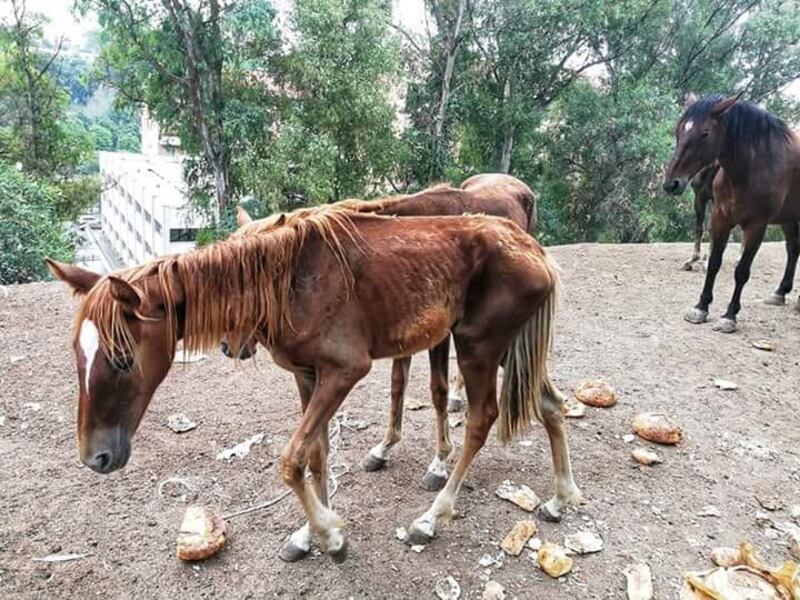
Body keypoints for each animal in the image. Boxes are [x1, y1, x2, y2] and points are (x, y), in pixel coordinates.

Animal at [47, 206, 581, 564]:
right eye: (76, 354)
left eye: (121, 359)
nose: (96, 457)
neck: (289, 282)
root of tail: (534, 250)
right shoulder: (309, 376)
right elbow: (317, 455)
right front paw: (309, 535)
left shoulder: (345, 372)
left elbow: (291, 461)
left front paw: (330, 535)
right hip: (513, 350)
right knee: (551, 405)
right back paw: (559, 498)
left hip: (477, 347)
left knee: (481, 419)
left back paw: (430, 519)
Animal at [228, 173, 537, 492]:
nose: (232, 347)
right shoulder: (404, 329)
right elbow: (397, 385)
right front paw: (384, 448)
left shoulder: (433, 334)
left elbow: (436, 390)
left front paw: (439, 463)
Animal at [663, 93, 800, 332]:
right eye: (678, 130)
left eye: (705, 133)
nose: (671, 184)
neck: (752, 167)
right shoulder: (720, 218)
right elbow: (714, 263)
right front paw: (700, 307)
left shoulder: (756, 226)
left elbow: (742, 271)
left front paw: (729, 315)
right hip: (789, 218)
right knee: (793, 249)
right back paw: (780, 293)